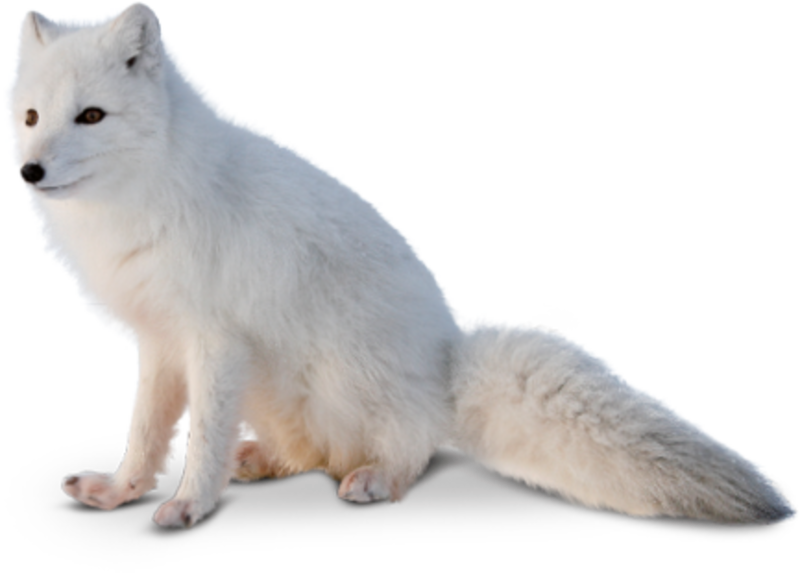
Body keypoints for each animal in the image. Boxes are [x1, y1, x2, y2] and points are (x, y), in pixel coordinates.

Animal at [3, 1, 795, 529]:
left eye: (92, 116)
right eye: (33, 116)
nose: (30, 170)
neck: (148, 195)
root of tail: (447, 365)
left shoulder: (215, 342)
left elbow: (199, 439)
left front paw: (190, 504)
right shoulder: (164, 344)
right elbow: (146, 434)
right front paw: (122, 490)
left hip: (340, 374)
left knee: (411, 446)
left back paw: (377, 477)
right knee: (310, 451)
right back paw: (259, 461)